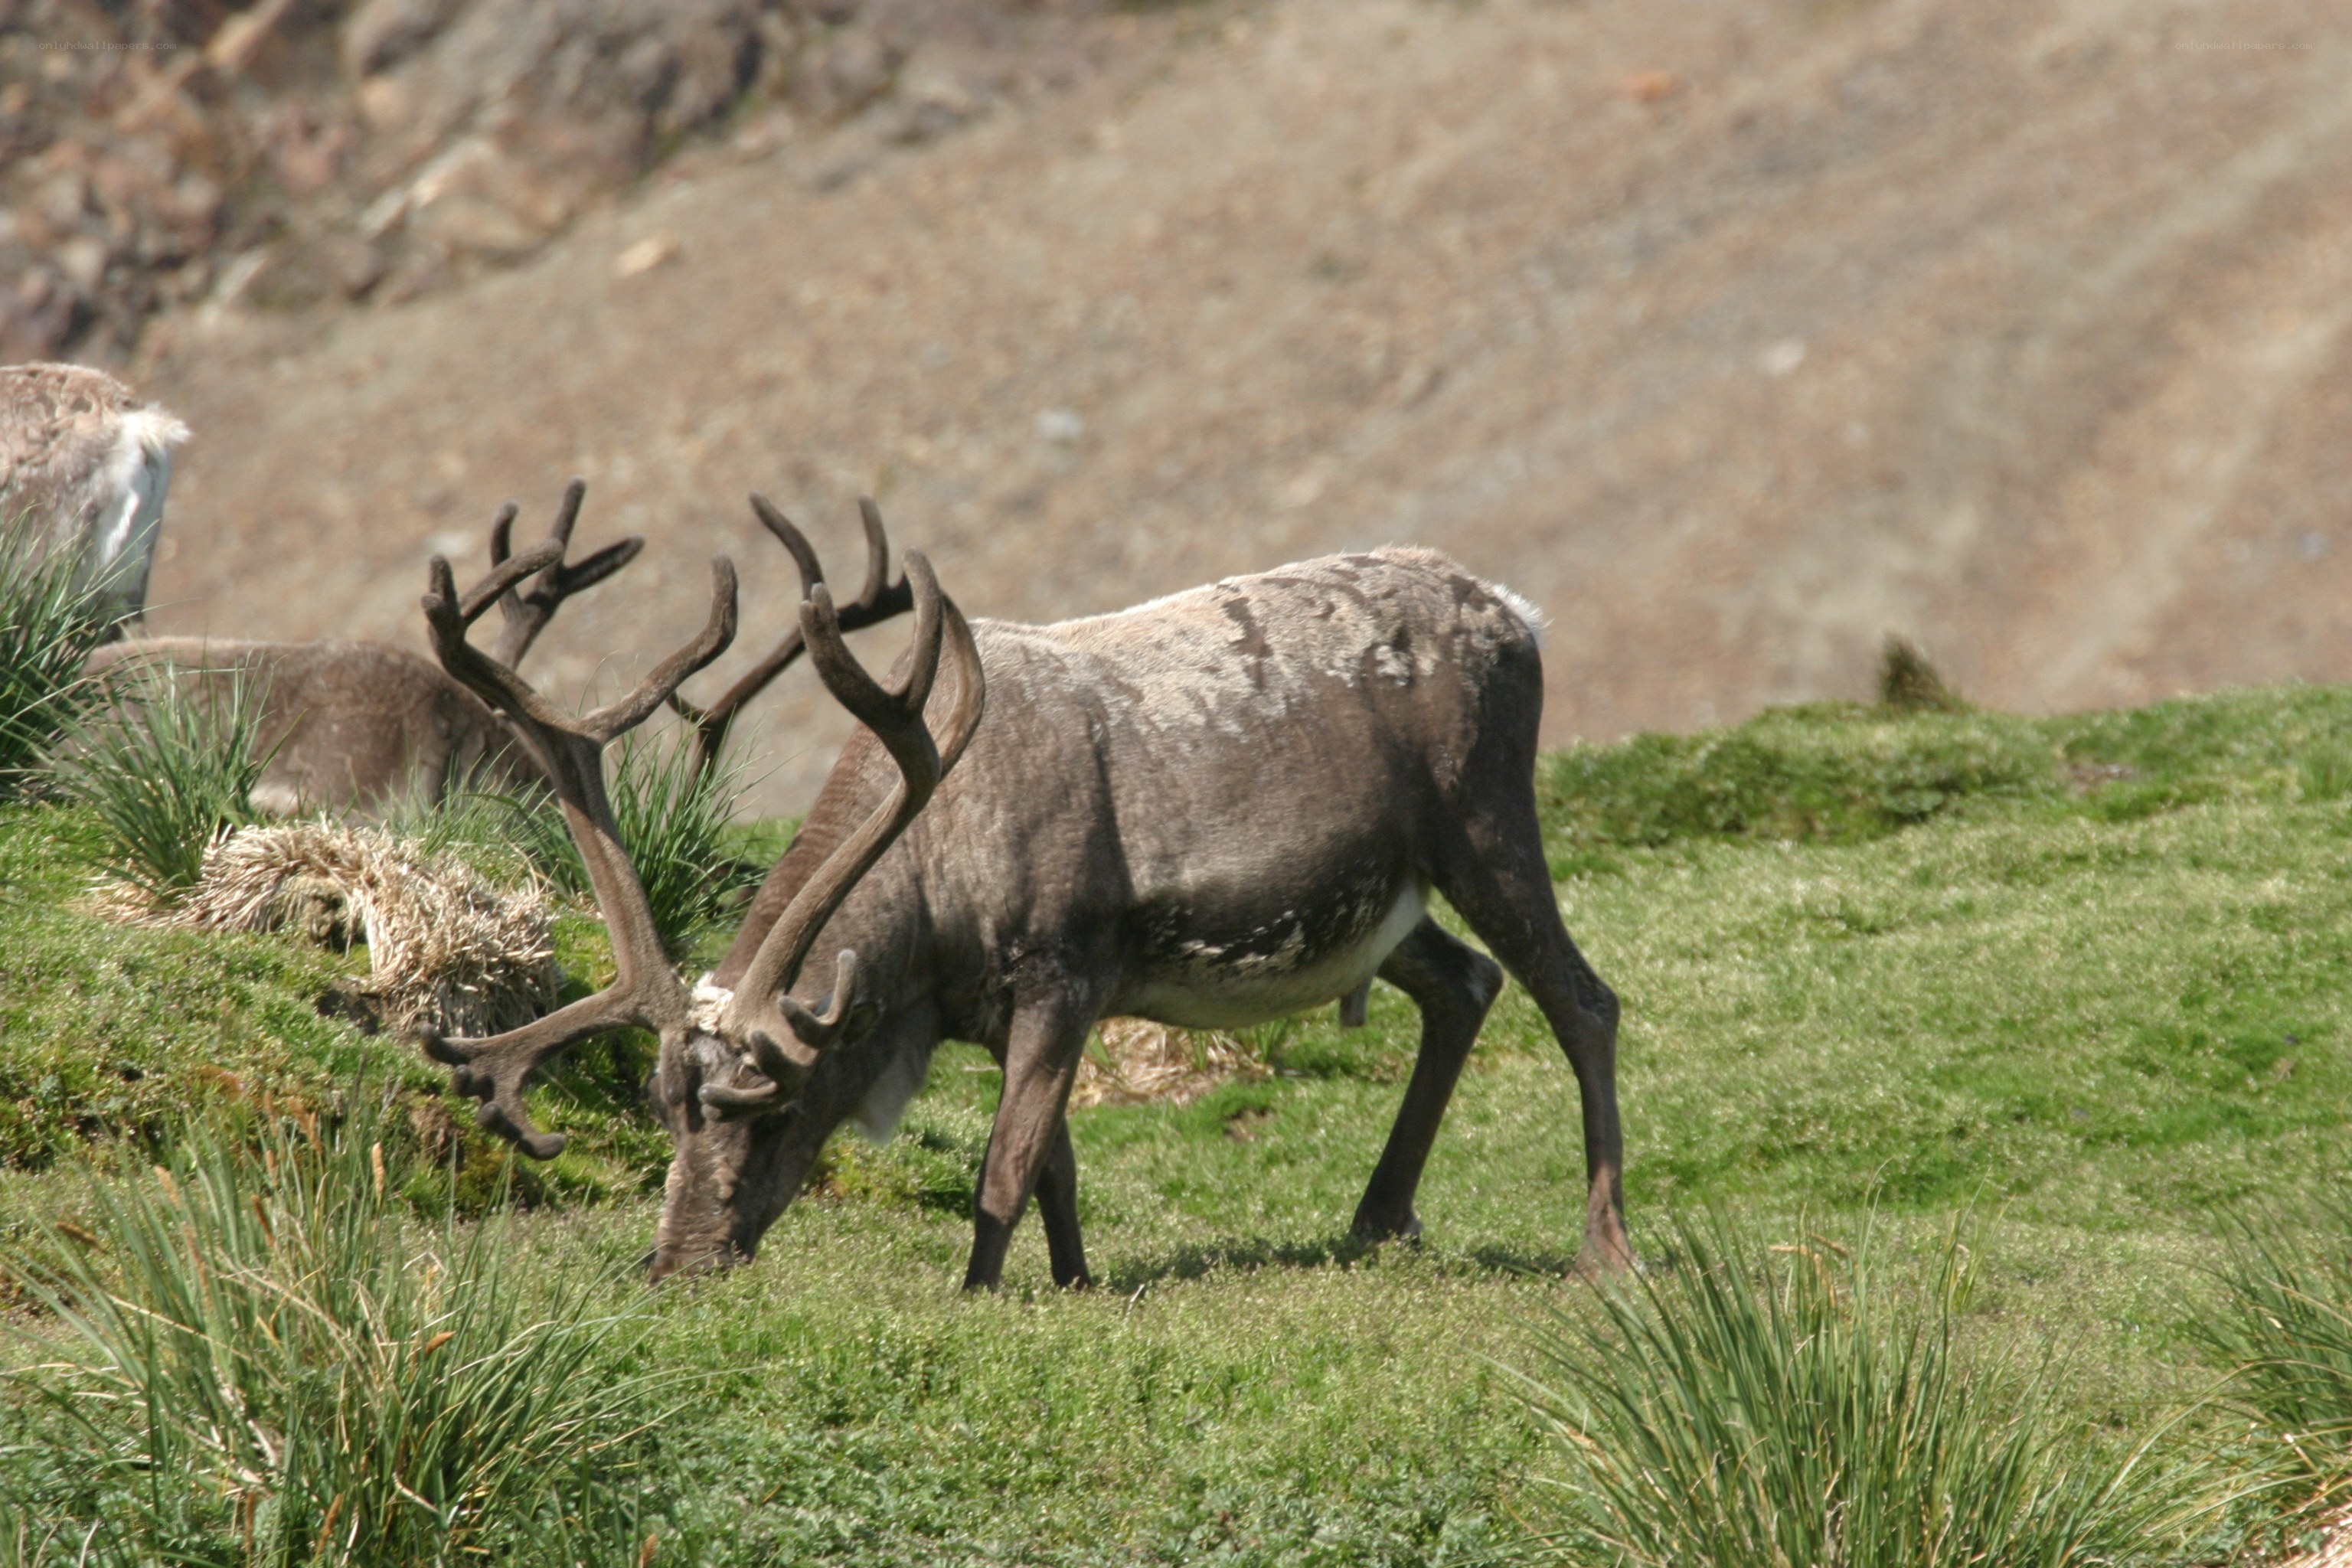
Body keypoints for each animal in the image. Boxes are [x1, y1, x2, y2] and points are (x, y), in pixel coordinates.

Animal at [409, 507, 1633, 1289]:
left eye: (775, 1112)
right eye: (665, 1107)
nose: (676, 1264)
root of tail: (1518, 615)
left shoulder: (1064, 966)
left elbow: (1003, 1165)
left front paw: (982, 1292)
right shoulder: (997, 1007)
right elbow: (1056, 1160)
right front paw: (1077, 1281)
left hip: (1483, 821)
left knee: (1584, 998)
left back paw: (1603, 1249)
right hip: (1384, 905)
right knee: (1466, 982)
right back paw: (1377, 1218)